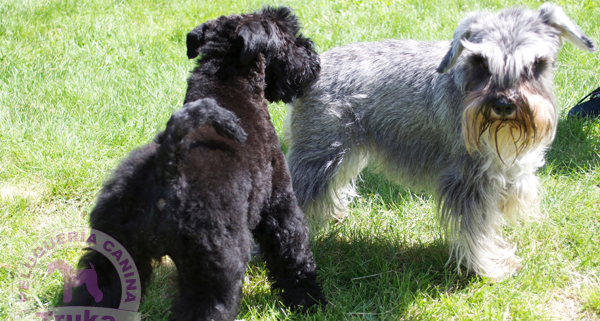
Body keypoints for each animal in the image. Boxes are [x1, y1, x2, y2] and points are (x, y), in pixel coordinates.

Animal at [67, 6, 324, 318]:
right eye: (289, 36)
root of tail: (168, 170)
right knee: (207, 307)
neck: (228, 87)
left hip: (113, 255)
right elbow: (292, 250)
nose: (313, 59)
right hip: (214, 267)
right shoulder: (279, 199)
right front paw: (308, 300)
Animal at [284, 5, 596, 280]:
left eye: (536, 64)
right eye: (481, 62)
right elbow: (476, 231)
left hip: (340, 151)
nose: (503, 104)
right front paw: (491, 267)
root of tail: (313, 69)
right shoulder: (468, 182)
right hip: (318, 155)